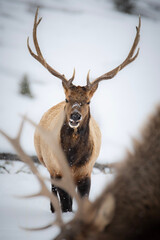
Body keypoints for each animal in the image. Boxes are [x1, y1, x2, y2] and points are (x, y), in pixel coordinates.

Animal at [26, 8, 141, 213]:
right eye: (67, 99)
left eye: (88, 101)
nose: (75, 116)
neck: (71, 158)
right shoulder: (57, 170)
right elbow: (65, 204)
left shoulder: (86, 173)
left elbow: (82, 203)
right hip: (45, 162)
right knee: (53, 191)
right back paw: (53, 210)